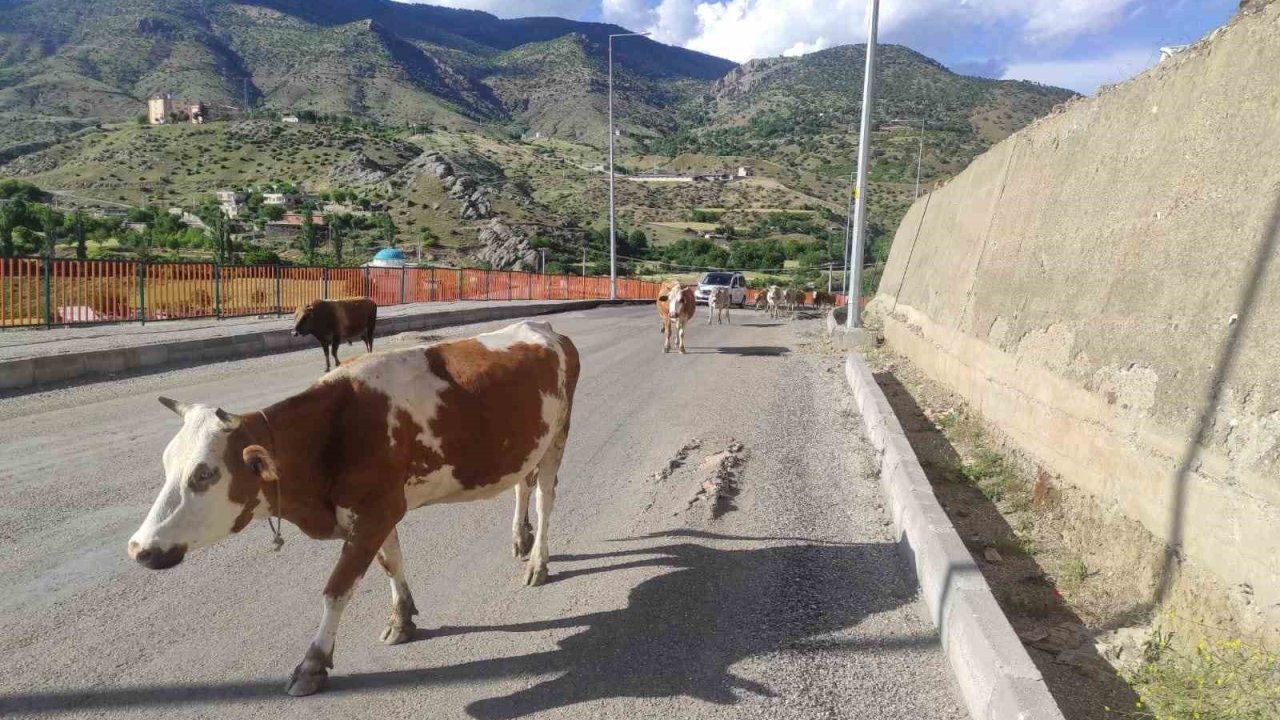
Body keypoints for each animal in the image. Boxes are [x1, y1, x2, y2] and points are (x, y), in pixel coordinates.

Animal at [128, 319, 581, 696]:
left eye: (205, 473)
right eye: (167, 463)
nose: (139, 548)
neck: (332, 433)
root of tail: (545, 329)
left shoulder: (374, 512)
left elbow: (338, 588)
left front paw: (312, 663)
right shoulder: (379, 510)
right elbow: (391, 562)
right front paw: (402, 619)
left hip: (558, 436)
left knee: (545, 497)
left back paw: (537, 562)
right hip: (528, 443)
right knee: (522, 485)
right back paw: (520, 539)